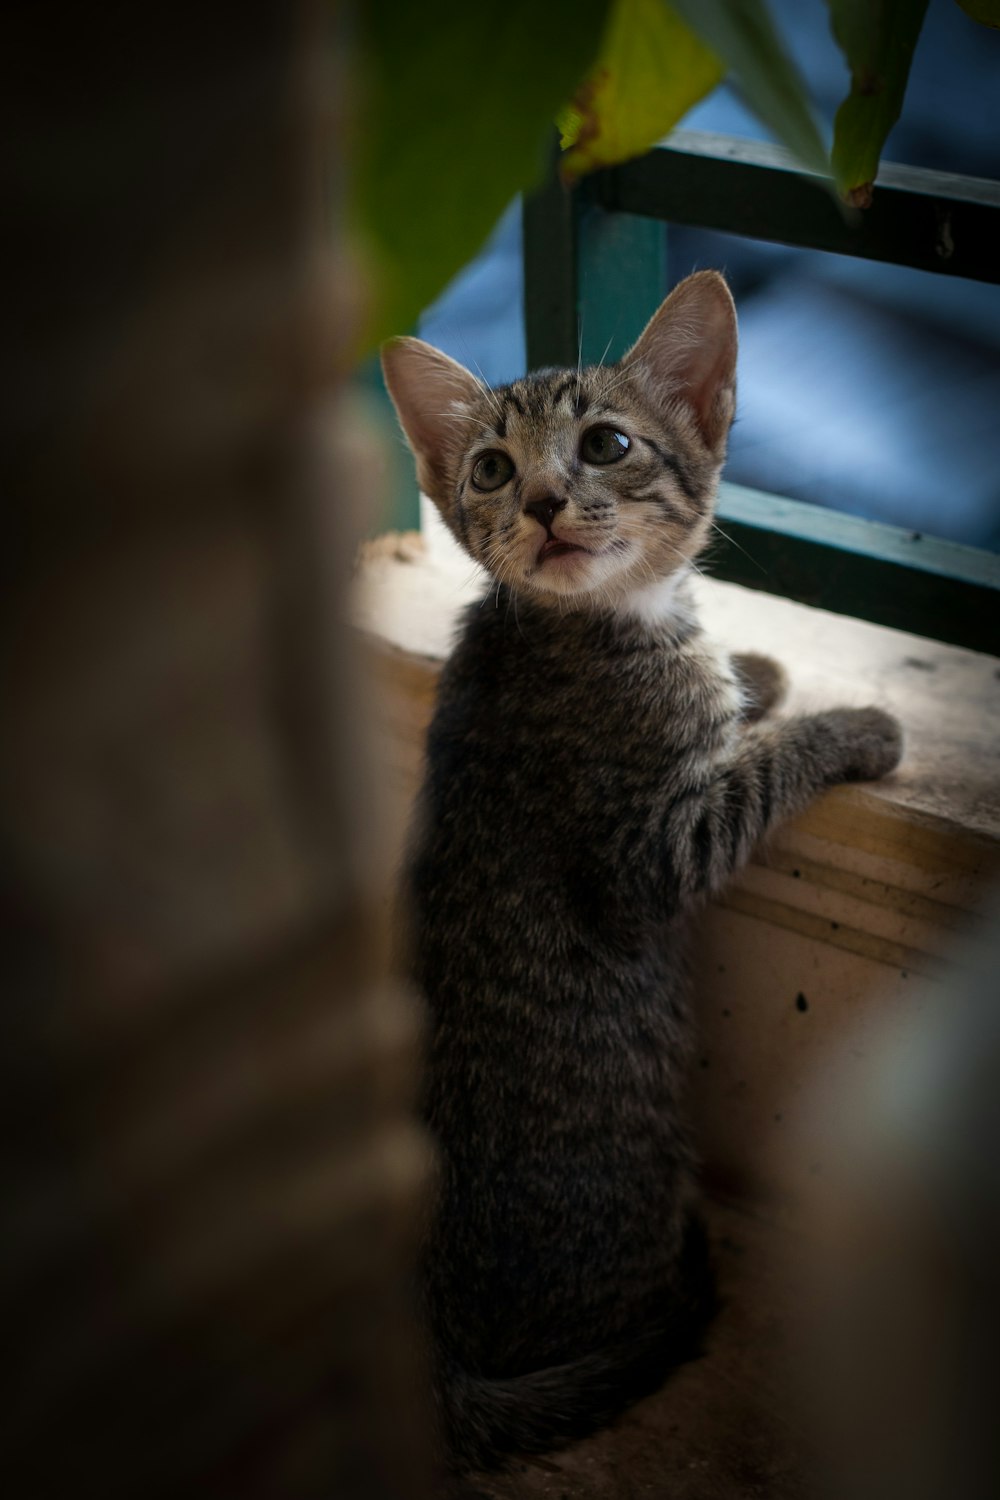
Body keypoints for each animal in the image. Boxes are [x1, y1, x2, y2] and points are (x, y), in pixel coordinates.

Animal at [379, 276, 905, 1470]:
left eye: (606, 444)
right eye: (491, 468)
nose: (539, 502)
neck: (589, 623)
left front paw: (756, 670)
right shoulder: (650, 854)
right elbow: (756, 773)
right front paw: (845, 725)